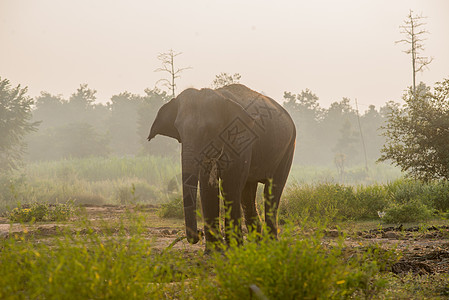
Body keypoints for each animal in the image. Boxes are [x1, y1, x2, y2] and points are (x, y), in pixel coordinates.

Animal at [147, 84, 294, 248]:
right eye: (178, 129)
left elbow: (230, 183)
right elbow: (207, 186)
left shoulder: (241, 140)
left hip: (288, 148)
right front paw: (215, 251)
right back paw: (256, 244)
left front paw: (234, 248)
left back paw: (271, 244)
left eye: (208, 129)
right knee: (248, 193)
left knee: (273, 190)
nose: (199, 233)